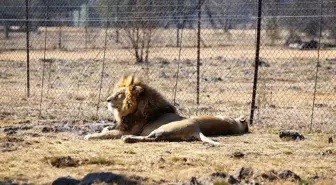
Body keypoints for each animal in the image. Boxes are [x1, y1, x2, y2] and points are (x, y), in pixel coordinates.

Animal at [82, 75, 248, 145]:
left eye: (119, 95)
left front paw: (89, 135)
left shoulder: (126, 129)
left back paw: (127, 139)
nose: (107, 100)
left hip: (163, 128)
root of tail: (196, 128)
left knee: (150, 137)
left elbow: (106, 134)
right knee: (154, 139)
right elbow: (106, 129)